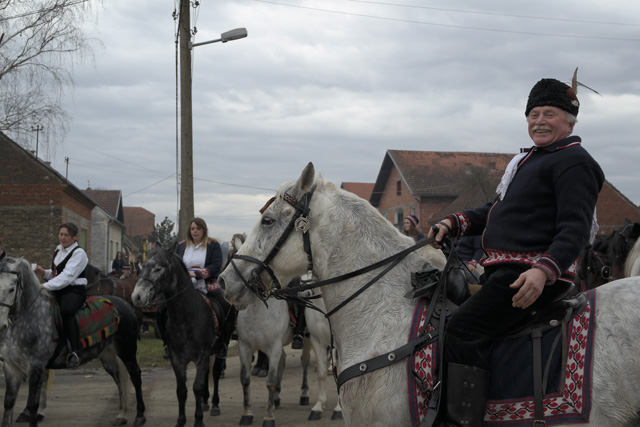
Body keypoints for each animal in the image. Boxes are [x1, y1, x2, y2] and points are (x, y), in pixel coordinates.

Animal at [0, 257, 146, 427]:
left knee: (135, 377)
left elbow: (32, 405)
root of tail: (126, 304)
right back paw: (122, 414)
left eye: (11, 289)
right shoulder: (11, 368)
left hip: (127, 351)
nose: (1, 324)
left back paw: (140, 415)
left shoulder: (35, 367)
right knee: (119, 380)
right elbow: (8, 403)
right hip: (108, 356)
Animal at [131, 247, 227, 427]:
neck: (185, 317)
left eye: (158, 268)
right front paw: (181, 421)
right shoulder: (177, 358)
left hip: (219, 350)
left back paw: (215, 405)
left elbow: (197, 387)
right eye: (143, 266)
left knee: (216, 373)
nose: (137, 296)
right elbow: (181, 390)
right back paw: (205, 402)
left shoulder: (202, 355)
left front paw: (198, 421)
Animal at [234, 281, 342, 426]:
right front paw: (247, 414)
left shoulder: (274, 346)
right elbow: (245, 379)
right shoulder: (244, 347)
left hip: (306, 339)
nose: (306, 292)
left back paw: (303, 394)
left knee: (304, 361)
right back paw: (277, 398)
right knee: (286, 360)